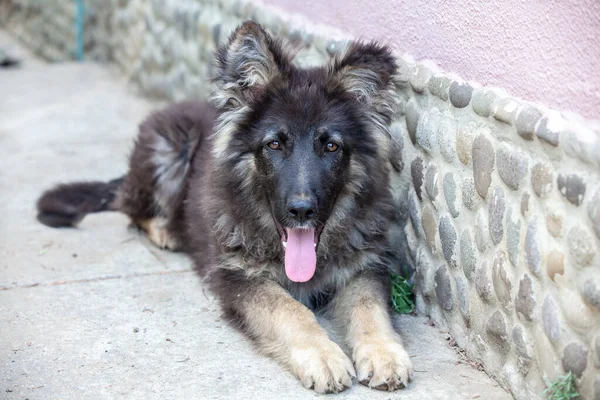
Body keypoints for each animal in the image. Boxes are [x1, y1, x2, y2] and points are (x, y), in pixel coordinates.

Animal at [36, 21, 412, 394]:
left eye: (332, 146)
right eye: (274, 144)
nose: (302, 211)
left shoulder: (366, 267)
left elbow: (369, 308)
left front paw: (384, 352)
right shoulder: (237, 277)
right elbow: (290, 310)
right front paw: (322, 355)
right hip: (170, 148)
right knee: (132, 208)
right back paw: (167, 230)